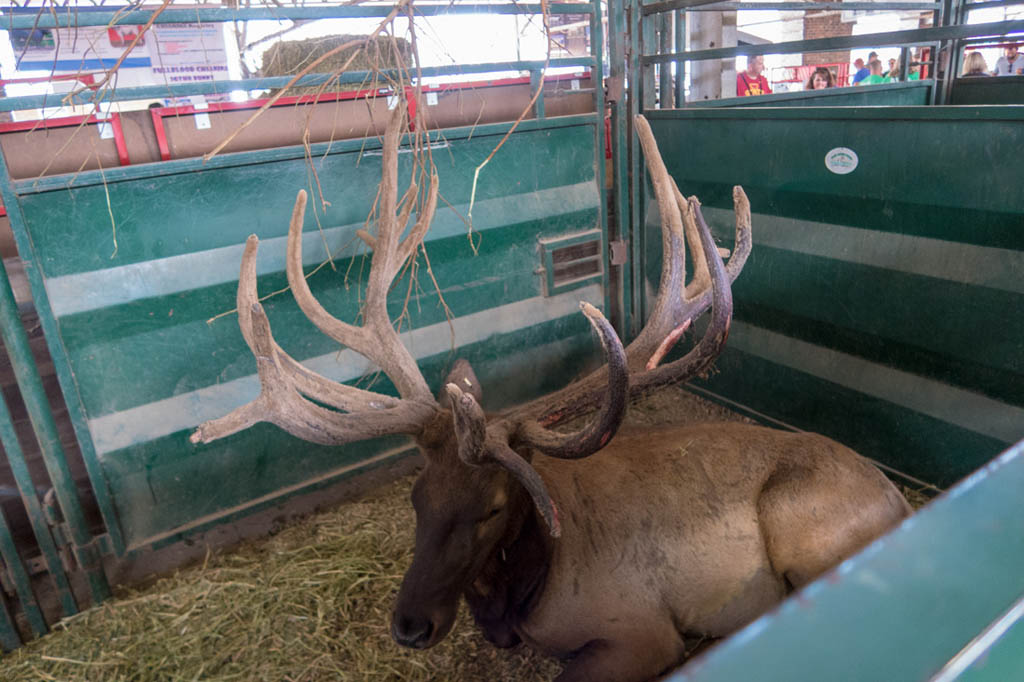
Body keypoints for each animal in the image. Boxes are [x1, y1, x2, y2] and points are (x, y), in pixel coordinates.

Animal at [192, 109, 913, 675]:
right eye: (415, 497)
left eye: (492, 505)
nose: (411, 624)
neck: (524, 592)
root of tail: (901, 500)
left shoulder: (639, 630)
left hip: (805, 532)